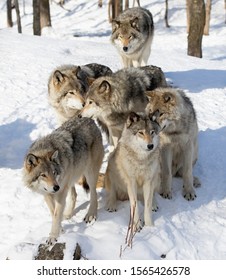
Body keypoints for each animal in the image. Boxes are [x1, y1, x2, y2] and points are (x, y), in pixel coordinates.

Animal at [23, 116, 104, 245]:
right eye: (43, 175)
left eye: (54, 173)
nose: (56, 187)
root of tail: (89, 119)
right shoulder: (47, 193)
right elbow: (53, 212)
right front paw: (60, 229)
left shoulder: (60, 192)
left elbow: (56, 214)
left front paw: (53, 237)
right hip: (70, 179)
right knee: (74, 195)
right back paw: (68, 214)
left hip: (89, 173)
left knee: (93, 193)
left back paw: (91, 214)